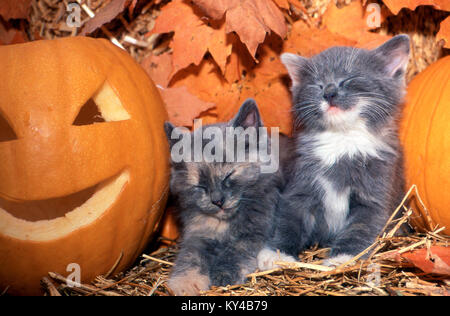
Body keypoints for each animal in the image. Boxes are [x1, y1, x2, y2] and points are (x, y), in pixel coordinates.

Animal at [165, 100, 284, 296]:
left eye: (228, 175)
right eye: (201, 186)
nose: (217, 201)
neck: (224, 223)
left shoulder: (255, 233)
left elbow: (236, 252)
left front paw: (224, 273)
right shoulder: (197, 235)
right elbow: (191, 257)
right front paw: (185, 283)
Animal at [260, 34, 412, 268]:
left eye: (349, 79)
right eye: (318, 84)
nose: (329, 93)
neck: (343, 142)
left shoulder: (376, 193)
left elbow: (360, 228)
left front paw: (344, 258)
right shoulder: (300, 186)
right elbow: (289, 219)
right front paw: (277, 253)